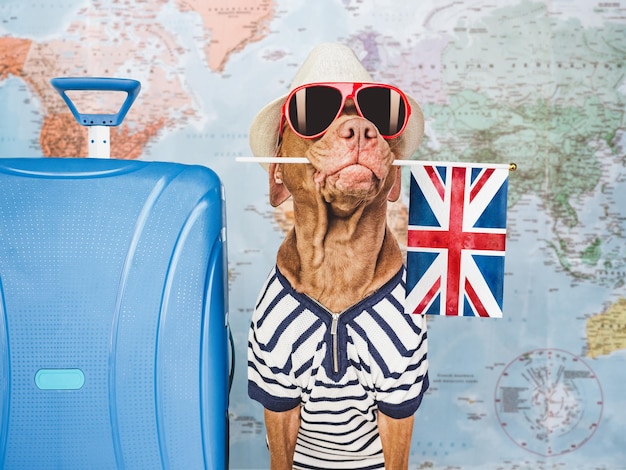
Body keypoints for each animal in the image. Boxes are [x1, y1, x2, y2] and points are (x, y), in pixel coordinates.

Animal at [246, 44, 426, 470]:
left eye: (379, 114)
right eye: (311, 114)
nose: (361, 129)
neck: (338, 258)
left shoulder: (400, 397)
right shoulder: (276, 394)